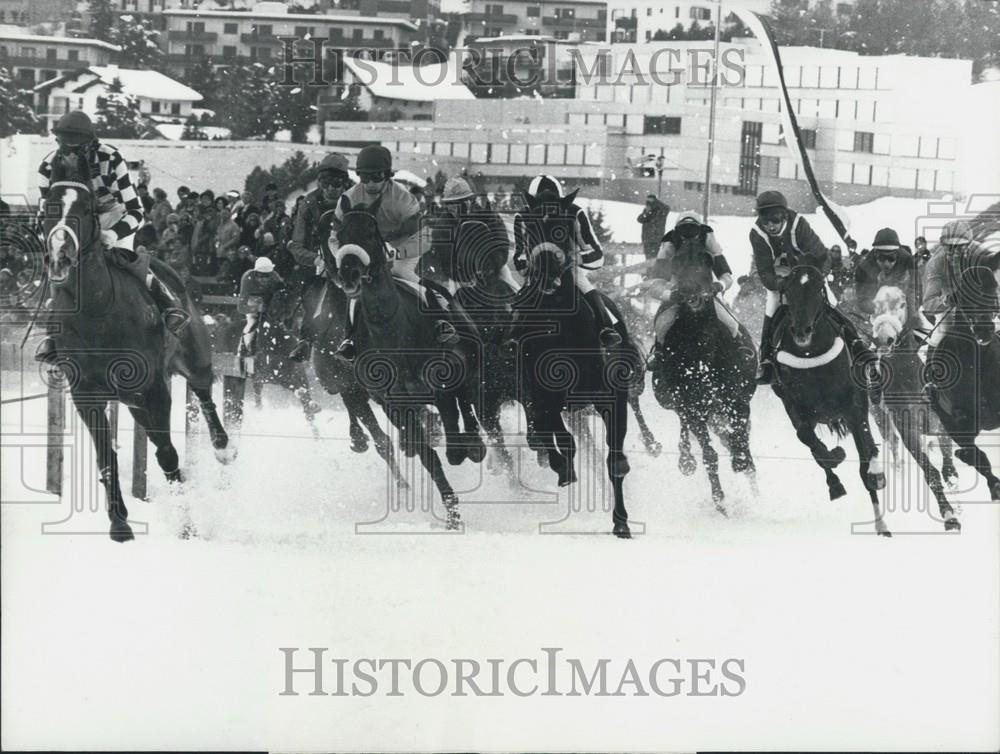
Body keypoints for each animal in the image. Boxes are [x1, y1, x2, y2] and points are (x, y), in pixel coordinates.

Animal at [40, 150, 229, 544]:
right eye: (49, 204)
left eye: (86, 208)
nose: (60, 255)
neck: (97, 311)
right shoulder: (87, 394)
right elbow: (106, 457)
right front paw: (119, 524)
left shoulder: (153, 387)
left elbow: (168, 455)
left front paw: (187, 525)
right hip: (131, 402)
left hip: (192, 357)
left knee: (203, 390)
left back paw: (224, 449)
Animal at [334, 192, 486, 528]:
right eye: (339, 234)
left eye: (370, 234)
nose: (348, 274)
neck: (390, 327)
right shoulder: (394, 403)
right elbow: (428, 455)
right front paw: (452, 512)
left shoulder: (443, 380)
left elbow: (453, 420)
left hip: (467, 360)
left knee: (466, 404)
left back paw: (473, 445)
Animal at [508, 191, 632, 536]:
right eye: (529, 228)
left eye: (562, 229)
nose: (546, 269)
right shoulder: (543, 397)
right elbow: (561, 439)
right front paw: (564, 469)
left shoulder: (612, 399)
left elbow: (615, 460)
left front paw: (621, 521)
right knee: (544, 434)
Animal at [648, 239, 756, 512]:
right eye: (677, 263)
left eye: (706, 260)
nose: (693, 294)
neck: (701, 345)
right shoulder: (691, 404)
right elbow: (709, 453)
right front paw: (720, 500)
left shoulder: (736, 398)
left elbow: (740, 433)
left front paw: (741, 460)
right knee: (688, 428)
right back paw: (686, 459)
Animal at [768, 264, 888, 536]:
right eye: (788, 290)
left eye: (818, 289)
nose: (801, 331)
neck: (811, 357)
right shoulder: (795, 408)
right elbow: (811, 443)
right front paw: (835, 465)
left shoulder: (853, 408)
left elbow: (865, 464)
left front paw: (881, 524)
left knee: (869, 443)